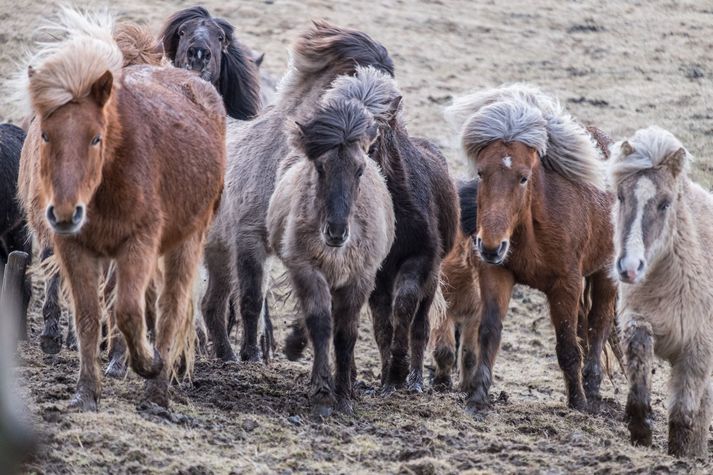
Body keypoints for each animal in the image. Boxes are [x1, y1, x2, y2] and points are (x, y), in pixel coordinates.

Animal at [17, 6, 225, 410]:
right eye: (46, 134)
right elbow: (87, 315)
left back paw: (157, 389)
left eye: (96, 138)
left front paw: (147, 363)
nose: (64, 212)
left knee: (170, 309)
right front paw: (85, 393)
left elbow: (128, 309)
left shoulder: (138, 245)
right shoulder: (74, 248)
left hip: (186, 243)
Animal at [268, 68, 400, 416]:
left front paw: (343, 393)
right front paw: (322, 390)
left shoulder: (360, 278)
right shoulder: (306, 269)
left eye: (360, 169)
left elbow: (346, 334)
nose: (336, 232)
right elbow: (321, 324)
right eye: (321, 167)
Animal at [444, 83, 616, 414]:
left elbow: (567, 345)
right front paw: (478, 397)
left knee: (597, 327)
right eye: (481, 173)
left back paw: (592, 392)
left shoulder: (566, 284)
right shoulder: (497, 274)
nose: (490, 246)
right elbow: (489, 333)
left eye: (524, 177)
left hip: (606, 273)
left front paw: (577, 402)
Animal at [608, 125, 712, 458]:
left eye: (665, 203)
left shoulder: (697, 349)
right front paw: (640, 426)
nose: (629, 268)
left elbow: (683, 411)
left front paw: (679, 454)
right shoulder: (637, 319)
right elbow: (639, 346)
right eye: (621, 196)